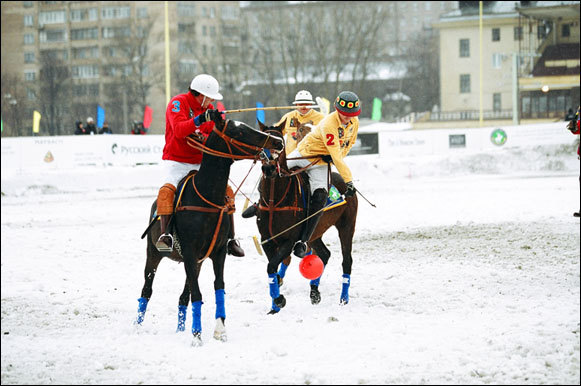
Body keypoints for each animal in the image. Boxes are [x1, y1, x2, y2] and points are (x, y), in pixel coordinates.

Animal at [134, 116, 284, 346]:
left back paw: (180, 329)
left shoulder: (218, 253)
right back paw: (137, 327)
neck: (207, 195)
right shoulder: (189, 252)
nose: (278, 142)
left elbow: (218, 287)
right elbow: (197, 294)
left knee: (183, 295)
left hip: (197, 262)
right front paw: (197, 336)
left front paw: (219, 331)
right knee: (147, 289)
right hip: (154, 254)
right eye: (239, 132)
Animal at [255, 120, 356, 314]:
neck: (274, 200)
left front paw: (279, 300)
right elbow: (272, 269)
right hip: (316, 232)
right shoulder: (266, 239)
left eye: (280, 143)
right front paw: (275, 306)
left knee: (346, 260)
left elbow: (272, 266)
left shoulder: (289, 240)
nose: (269, 168)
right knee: (324, 254)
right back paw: (314, 292)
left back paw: (344, 298)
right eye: (262, 142)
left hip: (347, 226)